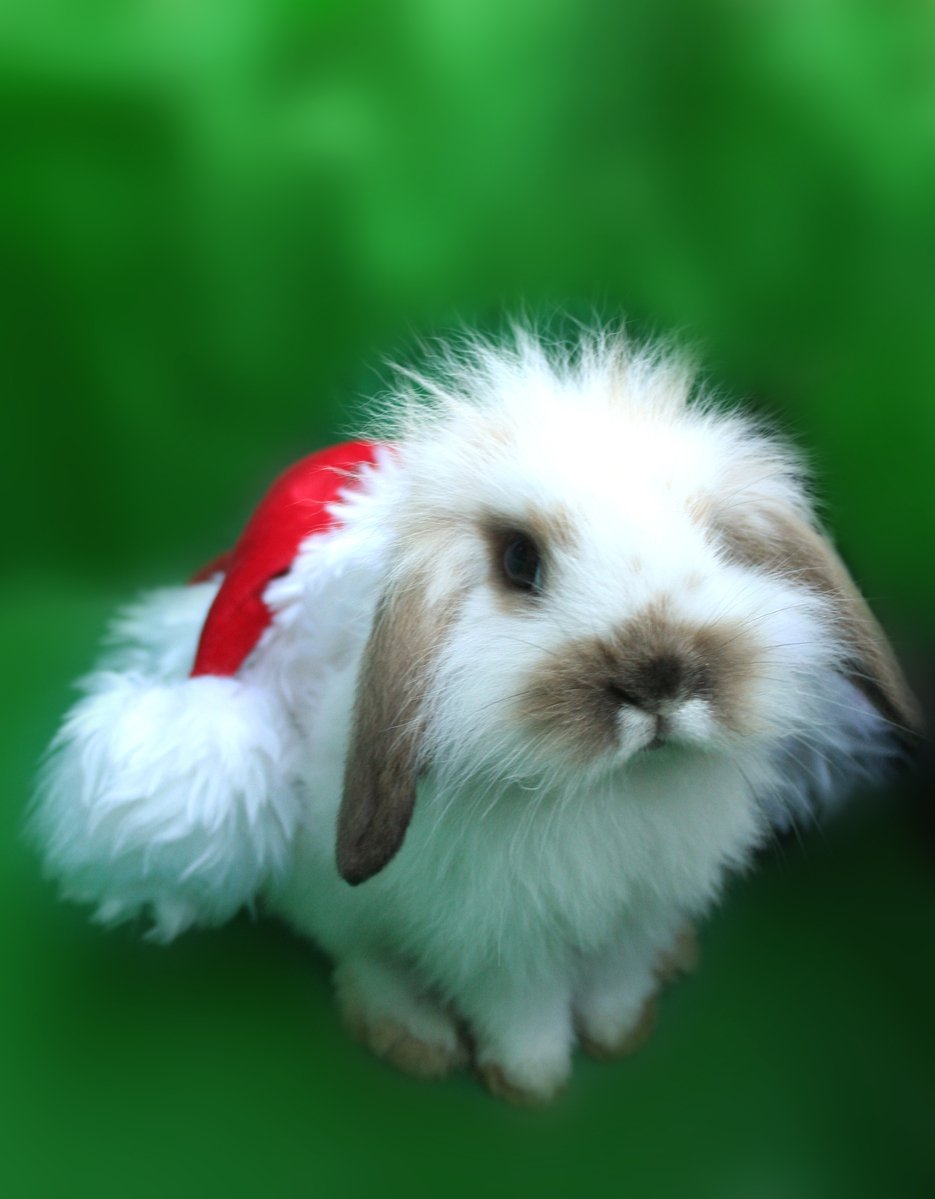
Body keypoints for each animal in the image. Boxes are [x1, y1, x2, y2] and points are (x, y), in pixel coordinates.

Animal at [31, 328, 920, 1103]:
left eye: (719, 541)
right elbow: (520, 1012)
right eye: (519, 561)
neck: (616, 789)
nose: (660, 678)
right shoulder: (498, 938)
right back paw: (411, 1033)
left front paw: (618, 1032)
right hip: (327, 893)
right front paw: (531, 1082)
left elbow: (617, 980)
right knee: (359, 956)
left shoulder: (642, 907)